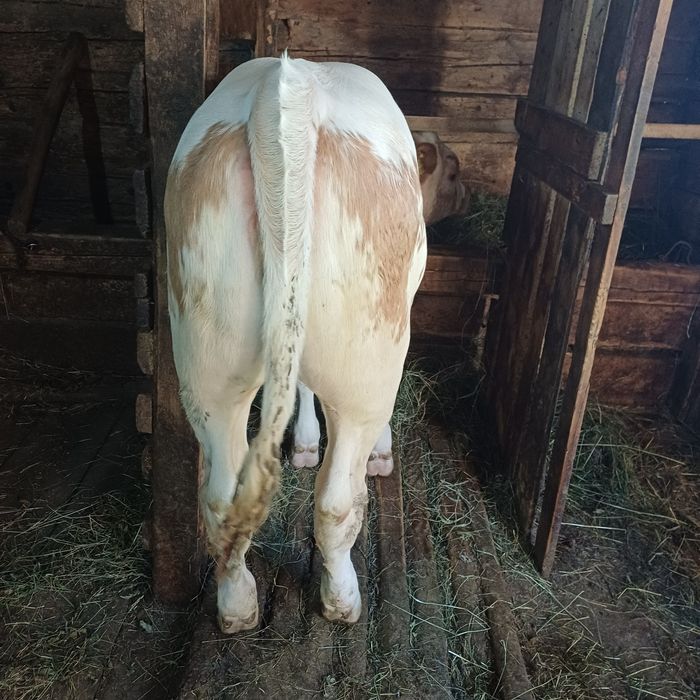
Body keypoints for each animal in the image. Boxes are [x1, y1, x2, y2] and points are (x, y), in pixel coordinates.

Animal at [165, 55, 427, 633]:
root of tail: (286, 93)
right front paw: (376, 451)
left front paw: (304, 441)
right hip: (368, 361)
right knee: (335, 502)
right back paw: (342, 600)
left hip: (204, 354)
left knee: (220, 494)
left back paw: (237, 607)